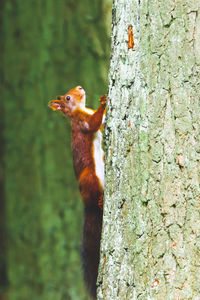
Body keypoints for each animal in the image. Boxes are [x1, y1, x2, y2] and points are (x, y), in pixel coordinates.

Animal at [48, 85, 106, 298]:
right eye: (67, 98)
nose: (80, 87)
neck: (81, 109)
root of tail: (87, 205)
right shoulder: (83, 123)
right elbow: (94, 123)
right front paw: (104, 102)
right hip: (90, 178)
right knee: (95, 196)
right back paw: (101, 201)